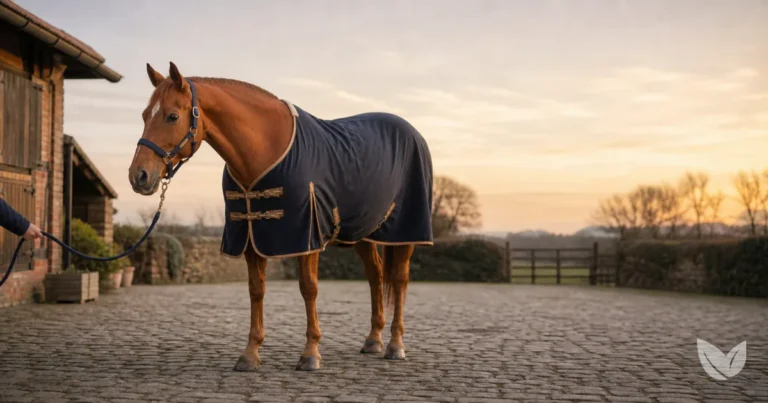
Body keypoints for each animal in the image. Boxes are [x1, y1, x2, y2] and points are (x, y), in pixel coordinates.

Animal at [128, 62, 434, 371]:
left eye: (172, 116)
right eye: (144, 115)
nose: (138, 176)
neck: (265, 150)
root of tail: (412, 133)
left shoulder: (307, 235)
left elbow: (309, 288)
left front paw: (310, 354)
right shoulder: (251, 237)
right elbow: (256, 290)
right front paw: (250, 353)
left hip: (406, 232)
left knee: (399, 279)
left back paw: (395, 345)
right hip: (363, 233)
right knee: (375, 275)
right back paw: (373, 340)